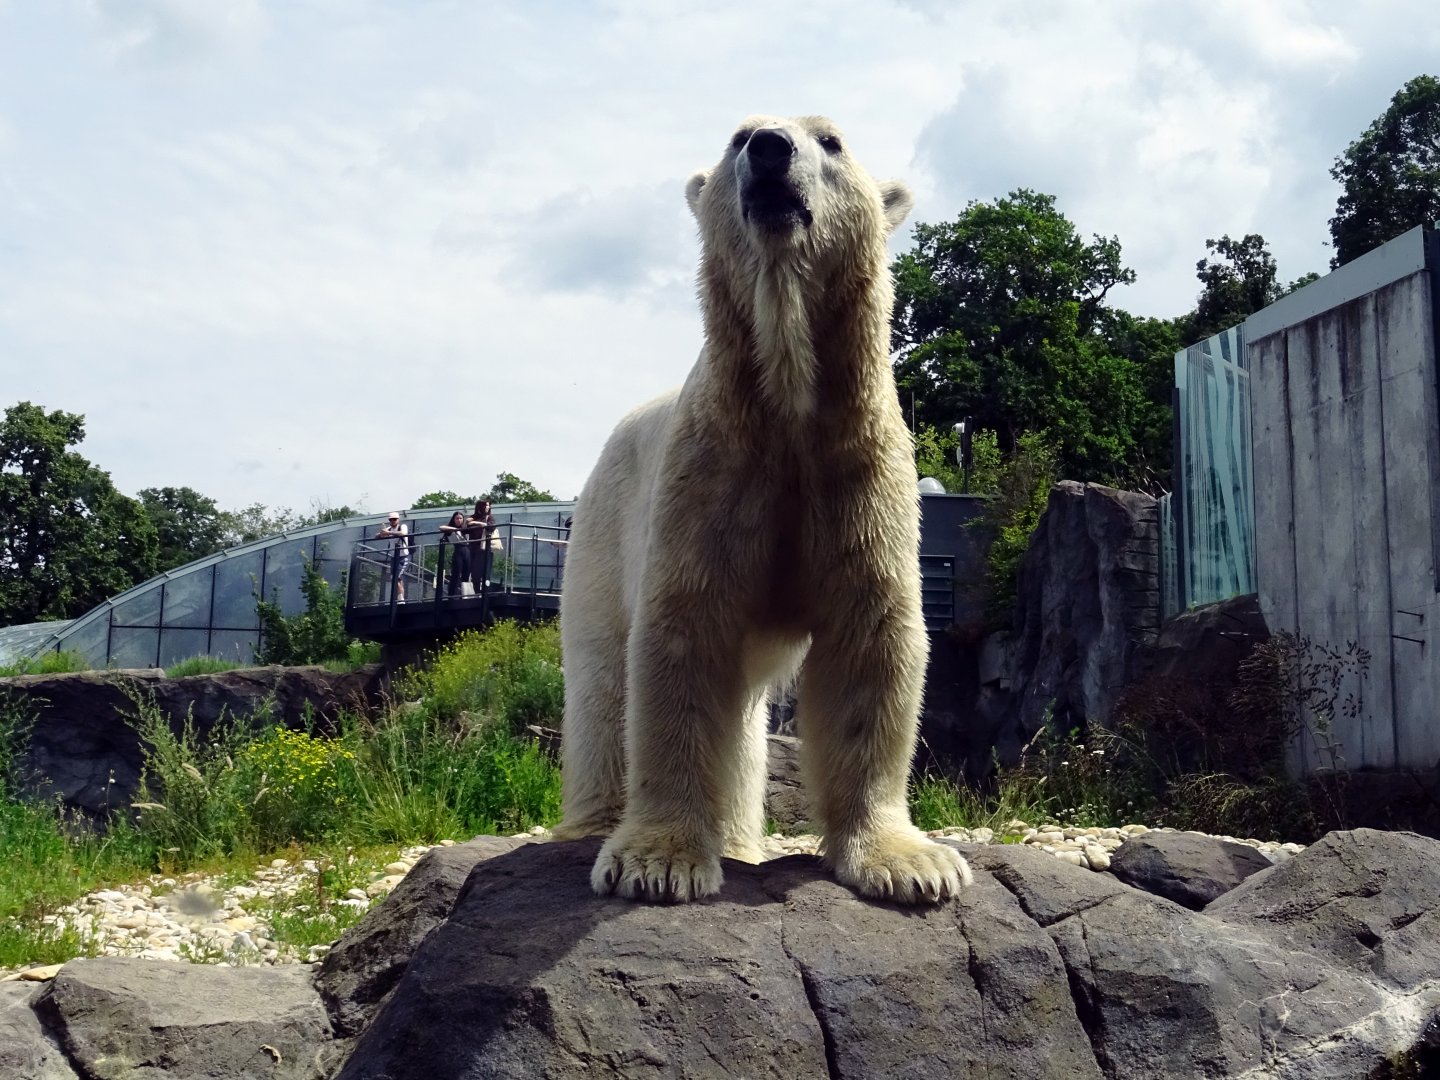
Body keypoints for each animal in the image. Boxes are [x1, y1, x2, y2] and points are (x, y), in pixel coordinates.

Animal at [552, 114, 972, 905]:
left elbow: (872, 643)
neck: (786, 402)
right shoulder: (709, 473)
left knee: (743, 717)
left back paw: (744, 839)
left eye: (831, 140)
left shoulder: (858, 475)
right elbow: (678, 642)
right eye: (737, 136)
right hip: (600, 529)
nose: (771, 148)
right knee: (600, 680)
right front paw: (657, 863)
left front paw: (912, 865)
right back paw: (591, 826)